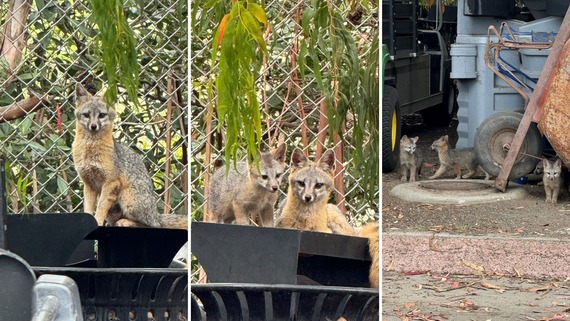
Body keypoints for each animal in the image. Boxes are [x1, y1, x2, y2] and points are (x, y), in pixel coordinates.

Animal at [70, 82, 186, 228]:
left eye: (102, 115)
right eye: (86, 114)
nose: (93, 126)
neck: (90, 150)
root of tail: (156, 215)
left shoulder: (111, 182)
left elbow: (101, 207)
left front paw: (97, 221)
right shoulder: (88, 183)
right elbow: (88, 208)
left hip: (127, 199)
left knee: (150, 225)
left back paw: (127, 222)